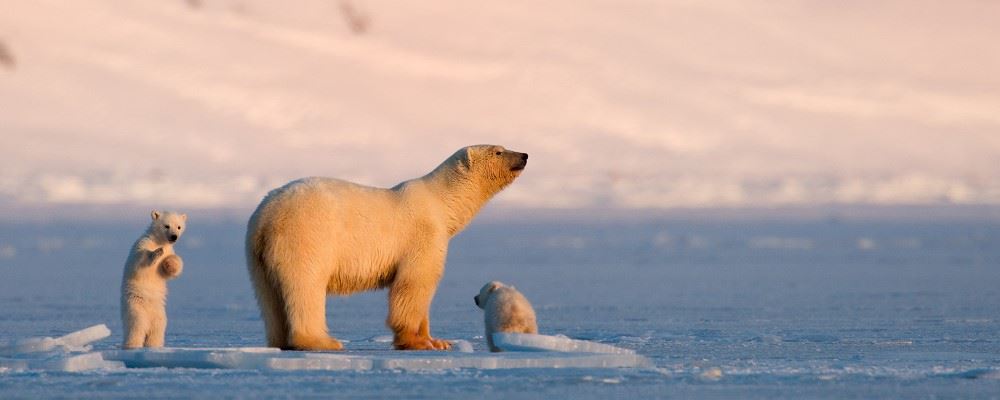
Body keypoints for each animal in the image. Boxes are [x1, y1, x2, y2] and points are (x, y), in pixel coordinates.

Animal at [120, 211, 186, 348]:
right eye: (166, 226)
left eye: (179, 227)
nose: (174, 237)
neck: (158, 241)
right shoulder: (142, 243)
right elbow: (139, 261)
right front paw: (157, 252)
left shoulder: (170, 250)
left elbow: (168, 270)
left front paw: (169, 263)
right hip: (136, 307)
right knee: (136, 327)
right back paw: (132, 345)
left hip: (159, 314)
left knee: (157, 330)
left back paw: (154, 345)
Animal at [246, 145, 528, 350]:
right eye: (498, 151)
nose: (524, 155)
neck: (441, 202)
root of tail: (266, 216)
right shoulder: (423, 235)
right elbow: (415, 284)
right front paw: (419, 342)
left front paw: (438, 341)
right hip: (307, 236)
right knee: (306, 285)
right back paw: (322, 342)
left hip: (257, 254)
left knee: (269, 297)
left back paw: (280, 341)